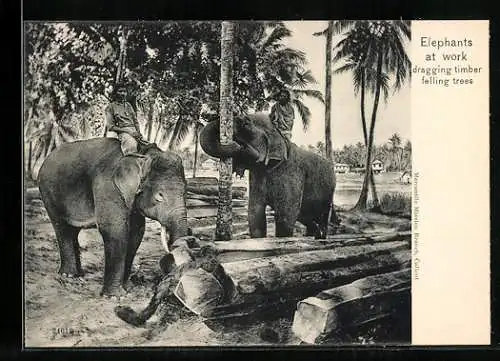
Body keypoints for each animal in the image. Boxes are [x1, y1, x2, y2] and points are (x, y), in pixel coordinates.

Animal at [38, 137, 188, 296]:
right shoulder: (109, 188)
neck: (141, 154)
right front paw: (114, 296)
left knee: (73, 231)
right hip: (49, 194)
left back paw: (79, 275)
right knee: (62, 228)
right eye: (160, 195)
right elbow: (115, 231)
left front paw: (127, 288)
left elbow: (136, 233)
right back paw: (69, 275)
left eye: (185, 191)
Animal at [199, 111, 336, 238]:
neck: (280, 135)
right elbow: (255, 212)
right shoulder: (257, 175)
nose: (237, 144)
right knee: (307, 218)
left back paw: (320, 237)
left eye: (245, 123)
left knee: (321, 217)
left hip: (329, 192)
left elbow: (286, 214)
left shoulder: (293, 172)